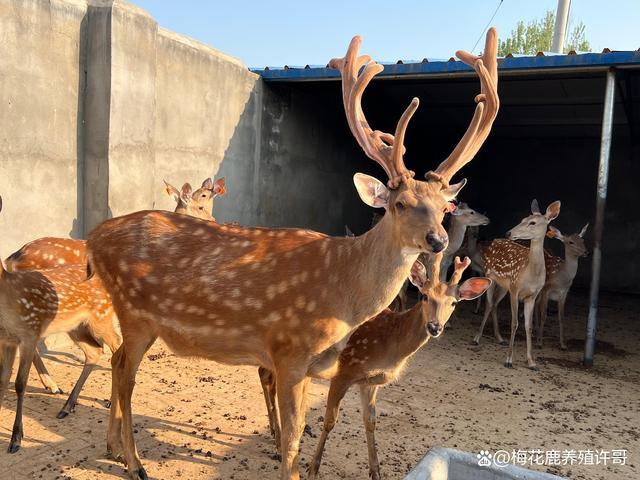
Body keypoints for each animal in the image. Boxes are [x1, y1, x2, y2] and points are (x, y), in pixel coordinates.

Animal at [0, 196, 123, 452]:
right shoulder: (8, 339)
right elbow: (4, 381)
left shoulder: (24, 334)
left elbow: (18, 382)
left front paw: (16, 438)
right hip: (78, 326)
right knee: (99, 350)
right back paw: (65, 401)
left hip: (95, 320)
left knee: (113, 348)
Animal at [260, 255, 490, 480]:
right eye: (424, 296)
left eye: (454, 303)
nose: (435, 327)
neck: (388, 345)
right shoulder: (344, 371)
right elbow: (329, 421)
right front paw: (313, 469)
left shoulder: (370, 382)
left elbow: (370, 421)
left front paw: (376, 472)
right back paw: (278, 441)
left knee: (266, 377)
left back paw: (274, 434)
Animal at [472, 199, 561, 369]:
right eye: (522, 219)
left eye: (532, 222)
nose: (508, 233)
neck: (530, 275)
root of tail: (494, 240)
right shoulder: (515, 290)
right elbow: (514, 323)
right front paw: (508, 360)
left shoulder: (532, 296)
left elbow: (529, 326)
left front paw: (532, 362)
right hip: (489, 277)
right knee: (489, 304)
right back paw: (476, 338)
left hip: (503, 287)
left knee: (494, 305)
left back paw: (500, 338)